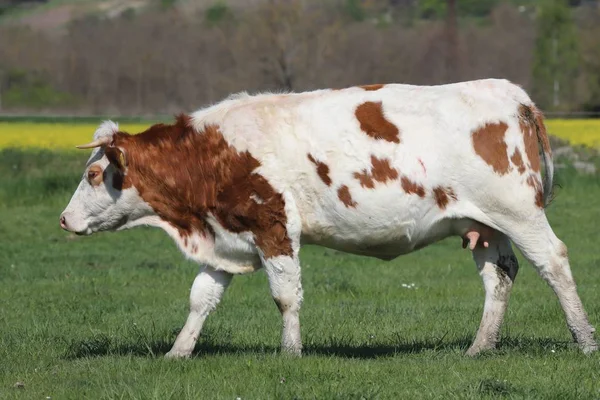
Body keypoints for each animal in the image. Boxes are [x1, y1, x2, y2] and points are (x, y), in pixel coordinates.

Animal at [59, 78, 596, 356]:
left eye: (93, 174)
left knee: (554, 261)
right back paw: (480, 348)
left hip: (519, 212)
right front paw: (178, 352)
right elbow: (201, 298)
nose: (64, 220)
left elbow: (285, 296)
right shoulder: (227, 235)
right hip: (485, 225)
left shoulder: (273, 225)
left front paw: (291, 353)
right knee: (500, 275)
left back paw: (585, 340)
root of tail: (511, 93)